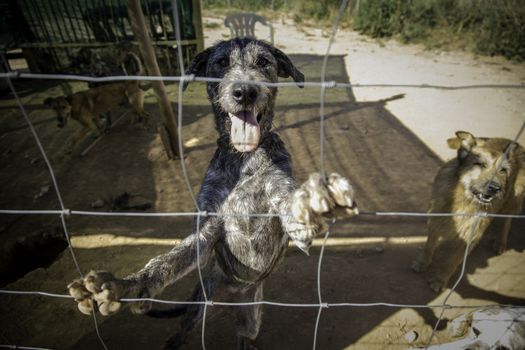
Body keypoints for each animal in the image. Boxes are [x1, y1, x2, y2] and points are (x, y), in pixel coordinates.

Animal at [67, 37, 358, 348]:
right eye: (221, 62)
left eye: (263, 61)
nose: (245, 92)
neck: (243, 158)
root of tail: (230, 292)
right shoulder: (207, 229)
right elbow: (165, 262)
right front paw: (126, 286)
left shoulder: (290, 217)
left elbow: (297, 216)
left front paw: (319, 199)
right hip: (198, 305)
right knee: (185, 327)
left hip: (251, 316)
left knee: (244, 334)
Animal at [412, 131, 524, 292]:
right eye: (480, 164)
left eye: (503, 171)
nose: (496, 188)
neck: (463, 201)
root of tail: (517, 144)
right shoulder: (435, 222)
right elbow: (429, 246)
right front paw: (422, 263)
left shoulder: (468, 237)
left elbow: (450, 263)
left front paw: (440, 280)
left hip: (514, 199)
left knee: (507, 221)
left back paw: (500, 242)